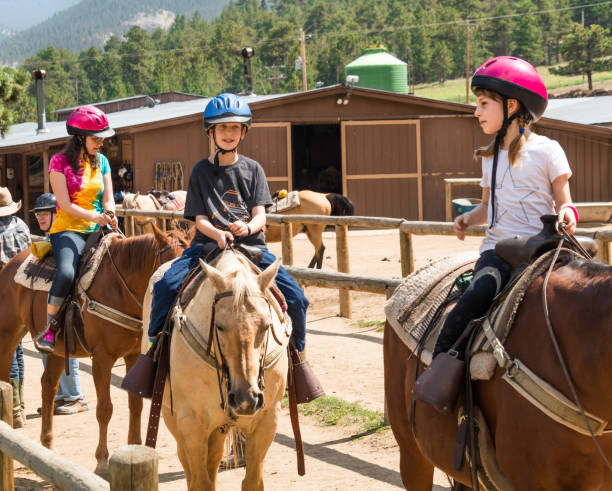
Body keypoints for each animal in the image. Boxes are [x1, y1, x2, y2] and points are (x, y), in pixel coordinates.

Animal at [0, 226, 185, 472]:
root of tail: (9, 265)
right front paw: (102, 460)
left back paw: (48, 446)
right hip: (8, 335)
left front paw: (136, 447)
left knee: (48, 387)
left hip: (57, 349)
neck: (120, 287)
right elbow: (105, 409)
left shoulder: (132, 356)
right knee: (6, 380)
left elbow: (135, 405)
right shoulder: (102, 358)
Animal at [142, 250, 290, 491]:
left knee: (213, 459)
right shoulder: (191, 424)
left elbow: (252, 482)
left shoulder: (266, 421)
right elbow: (199, 482)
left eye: (266, 325)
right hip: (170, 414)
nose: (246, 398)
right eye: (219, 326)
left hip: (219, 426)